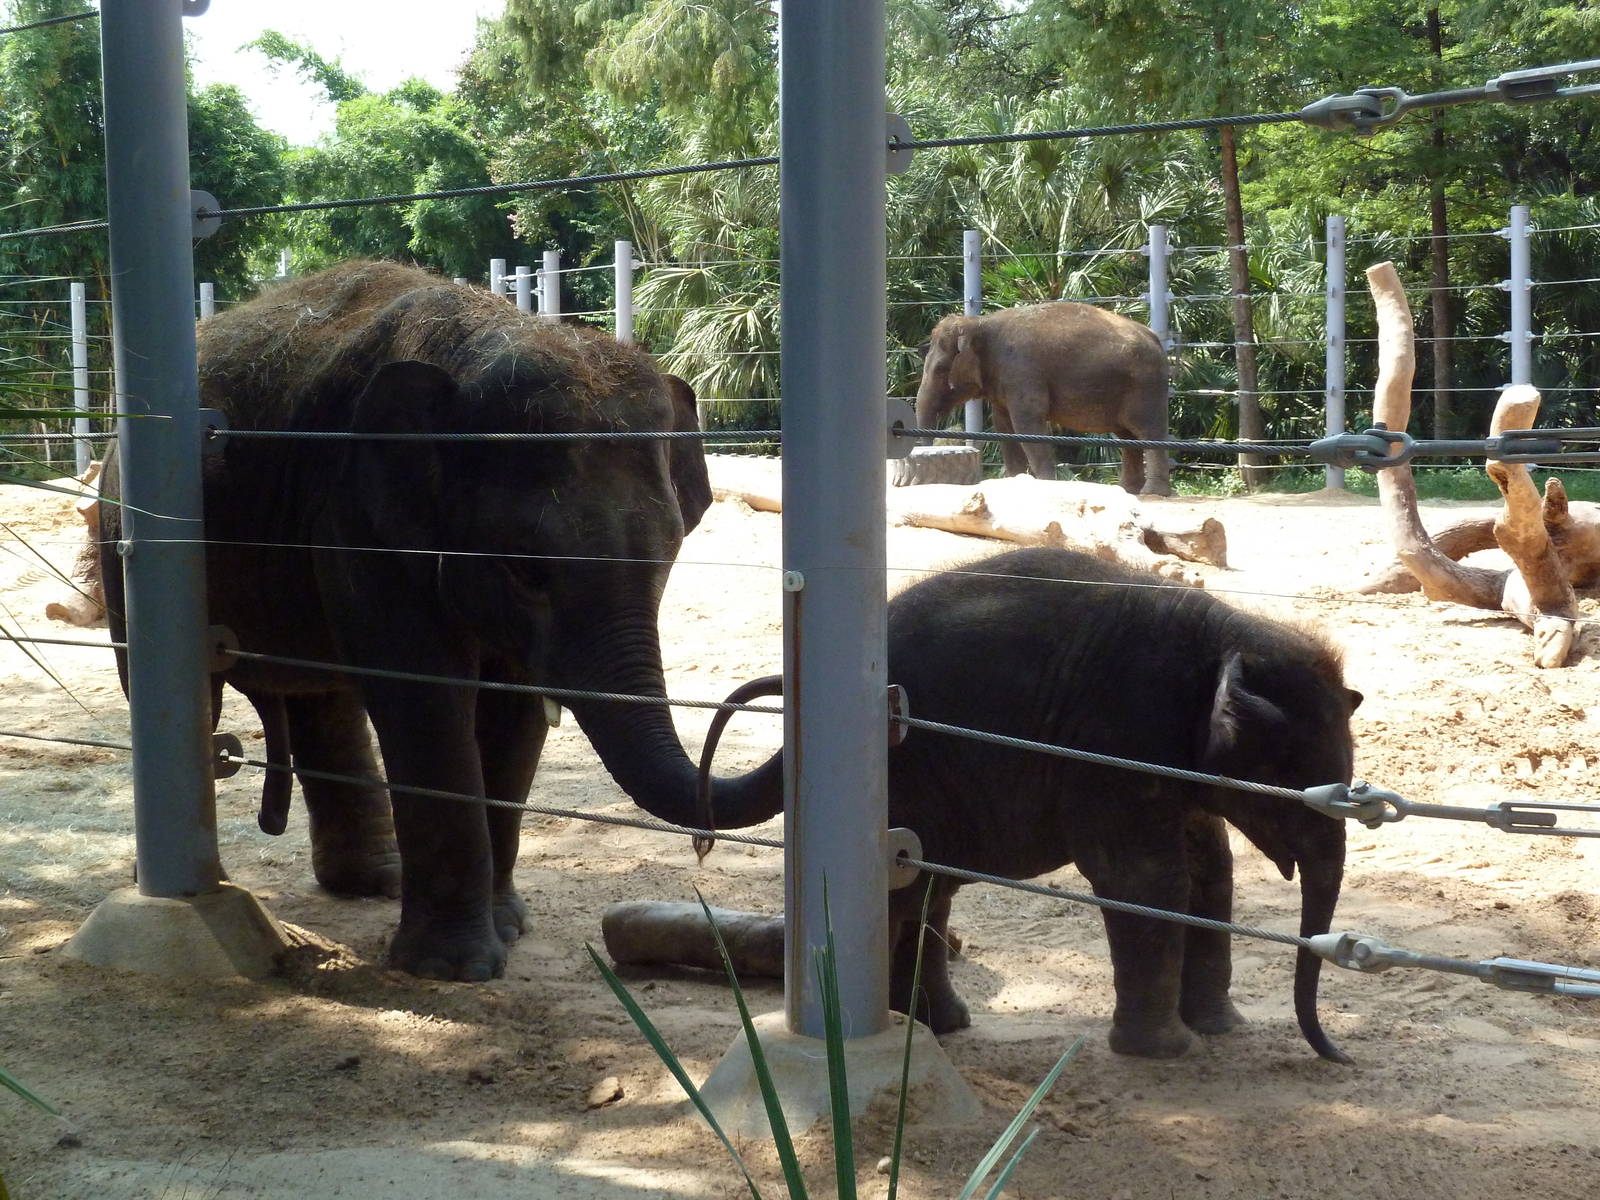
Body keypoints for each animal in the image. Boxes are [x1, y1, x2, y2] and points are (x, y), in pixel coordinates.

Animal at [97, 260, 781, 982]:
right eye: (527, 569)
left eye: (668, 554)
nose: (702, 848)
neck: (484, 337)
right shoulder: (357, 517)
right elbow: (425, 695)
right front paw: (456, 968)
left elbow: (511, 711)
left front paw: (508, 928)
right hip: (123, 533)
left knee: (323, 701)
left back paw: (377, 881)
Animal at [695, 547, 1361, 1061]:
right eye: (1287, 778)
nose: (1338, 1054)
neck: (1225, 634)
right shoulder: (1115, 742)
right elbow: (1147, 878)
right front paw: (1171, 1052)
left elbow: (1210, 871)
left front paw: (1221, 1030)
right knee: (906, 888)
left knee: (927, 886)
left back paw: (935, 1025)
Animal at [915, 302, 1171, 495]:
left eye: (940, 370)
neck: (979, 323)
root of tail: (1155, 337)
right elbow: (1004, 428)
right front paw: (1015, 480)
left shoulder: (1023, 372)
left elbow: (1027, 424)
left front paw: (1046, 483)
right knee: (1128, 437)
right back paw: (1129, 491)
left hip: (1146, 388)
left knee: (1148, 432)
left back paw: (1153, 493)